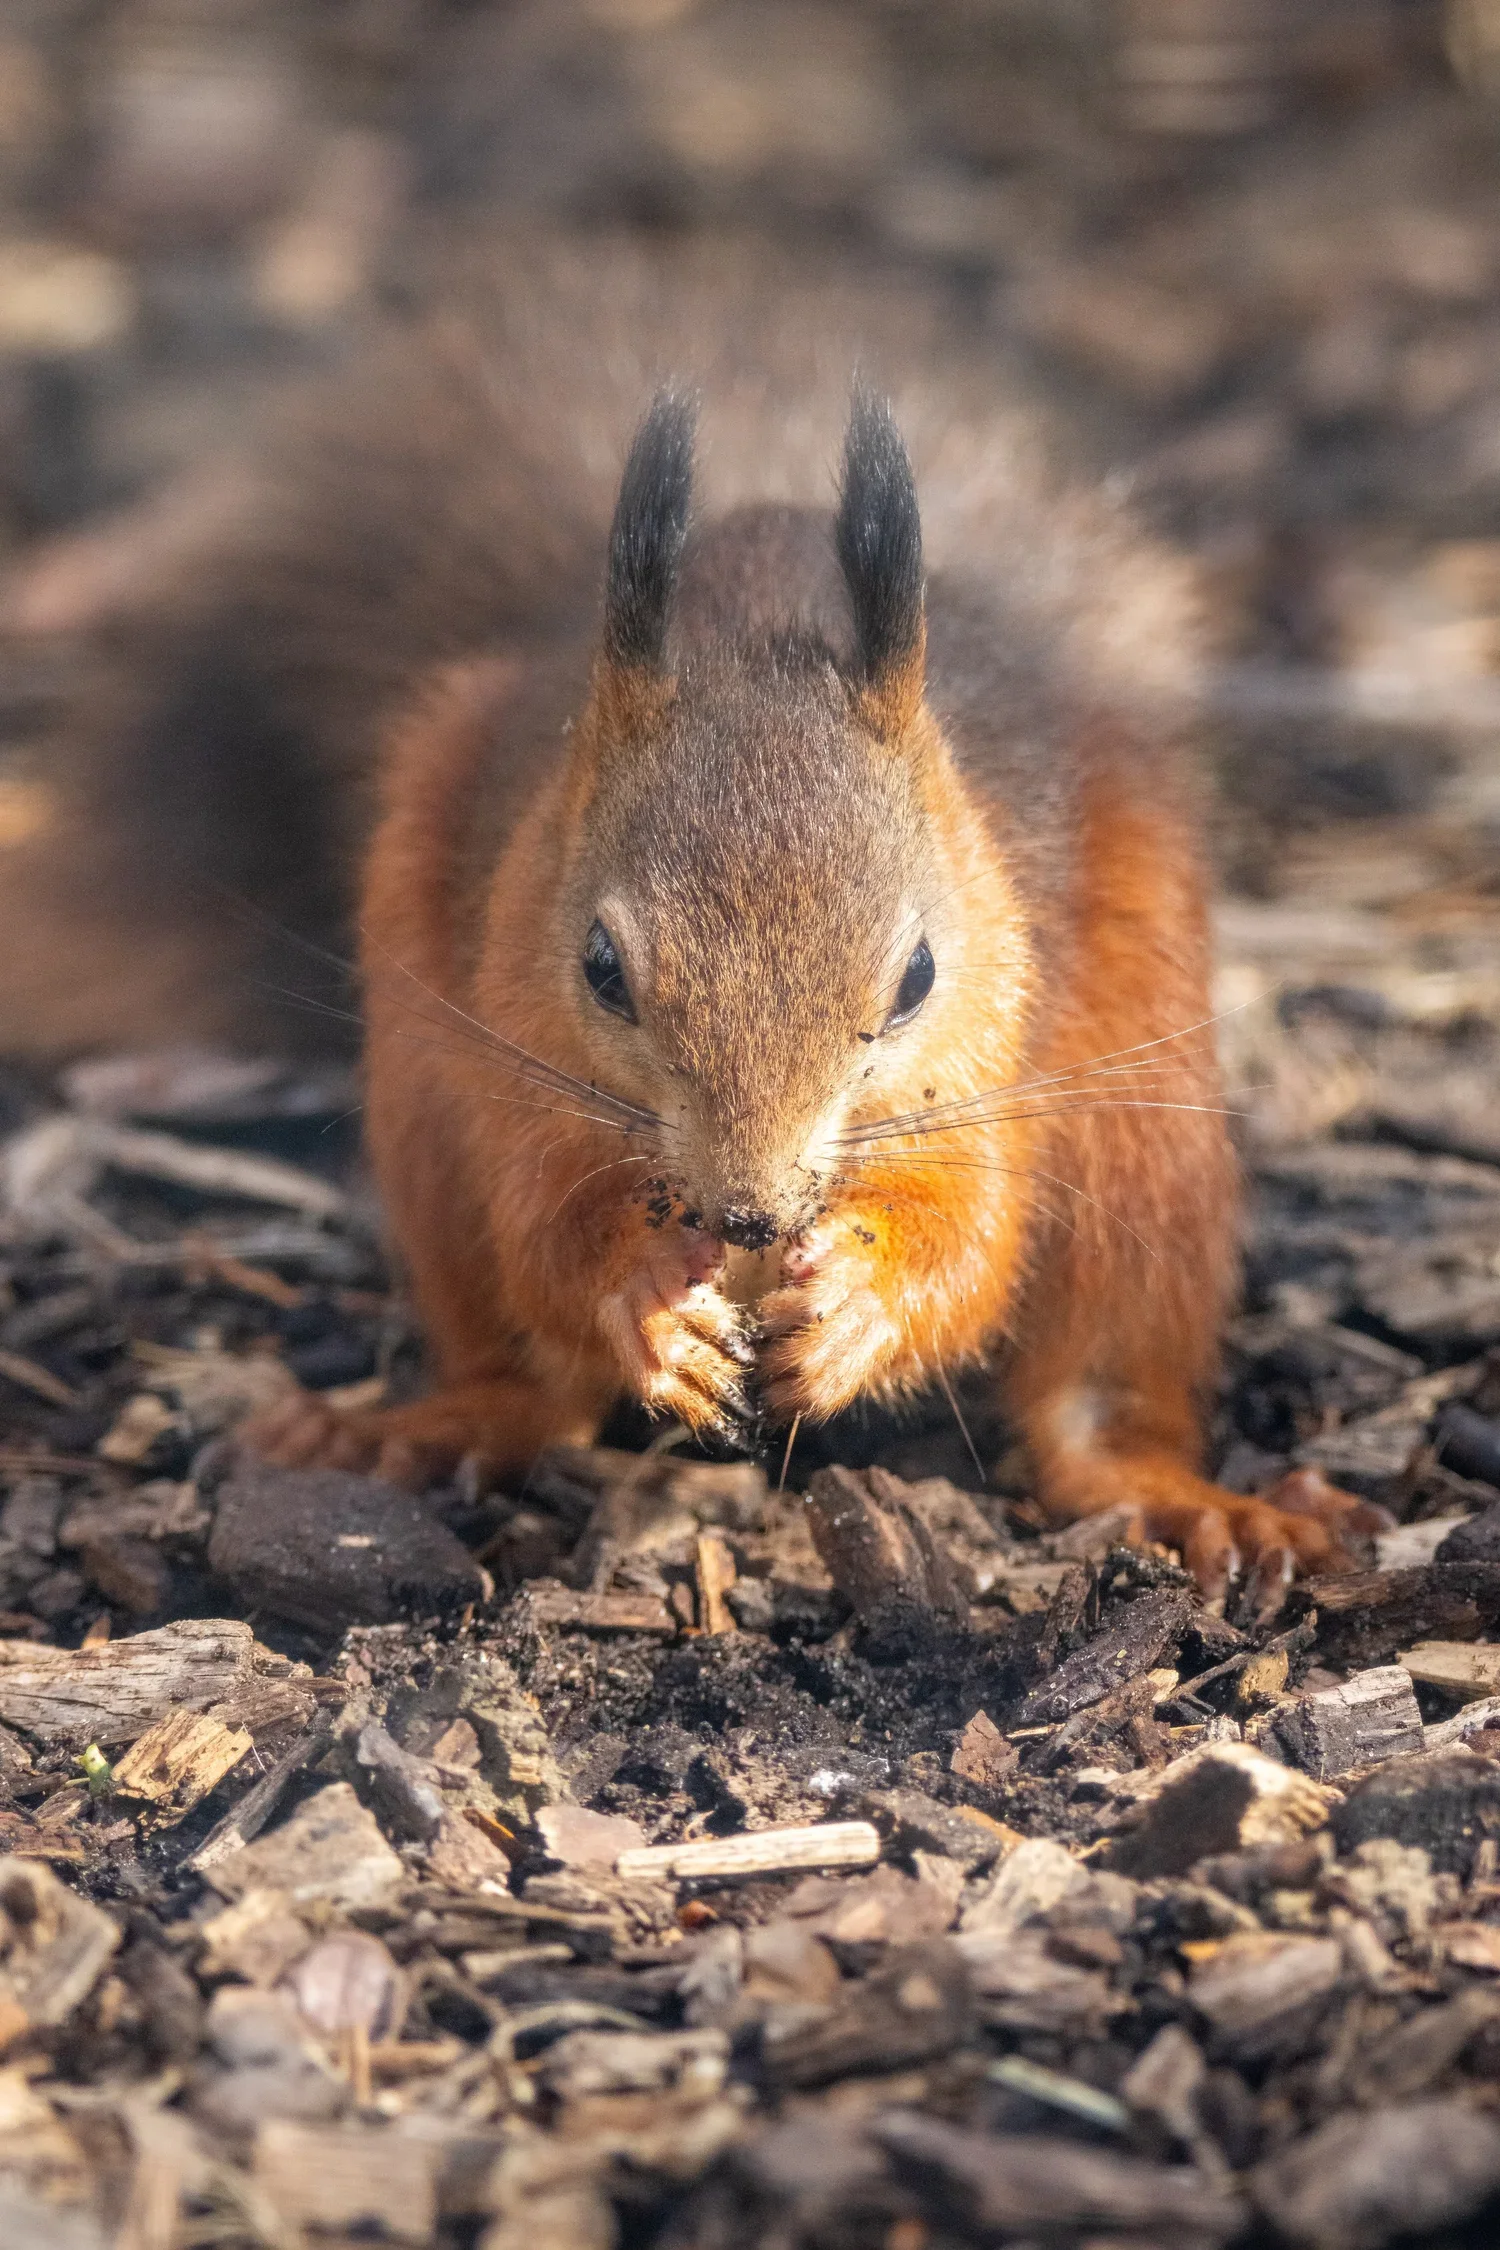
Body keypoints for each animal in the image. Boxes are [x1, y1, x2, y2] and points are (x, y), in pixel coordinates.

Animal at [2, 234, 1386, 1603]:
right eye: (602, 968)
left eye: (918, 976)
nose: (751, 1216)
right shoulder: (524, 1059)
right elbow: (549, 1232)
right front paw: (653, 1317)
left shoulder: (984, 1057)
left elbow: (969, 1241)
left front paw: (861, 1311)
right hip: (428, 1094)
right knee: (526, 1375)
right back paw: (415, 1427)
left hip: (1141, 1134)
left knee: (1096, 1385)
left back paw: (1181, 1497)